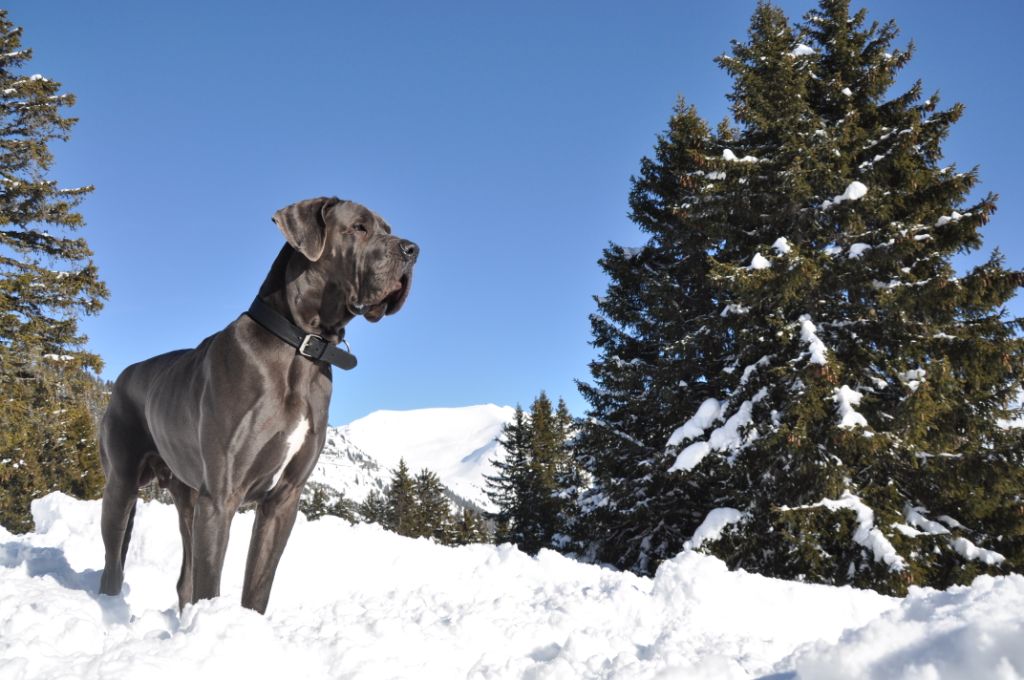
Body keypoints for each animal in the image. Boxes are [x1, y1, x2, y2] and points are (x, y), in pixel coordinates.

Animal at [96, 197, 415, 614]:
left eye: (388, 229)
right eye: (359, 227)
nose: (412, 250)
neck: (300, 348)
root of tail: (123, 375)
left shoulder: (283, 500)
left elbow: (257, 588)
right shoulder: (221, 497)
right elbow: (210, 586)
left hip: (187, 496)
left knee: (184, 579)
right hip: (122, 484)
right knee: (113, 565)